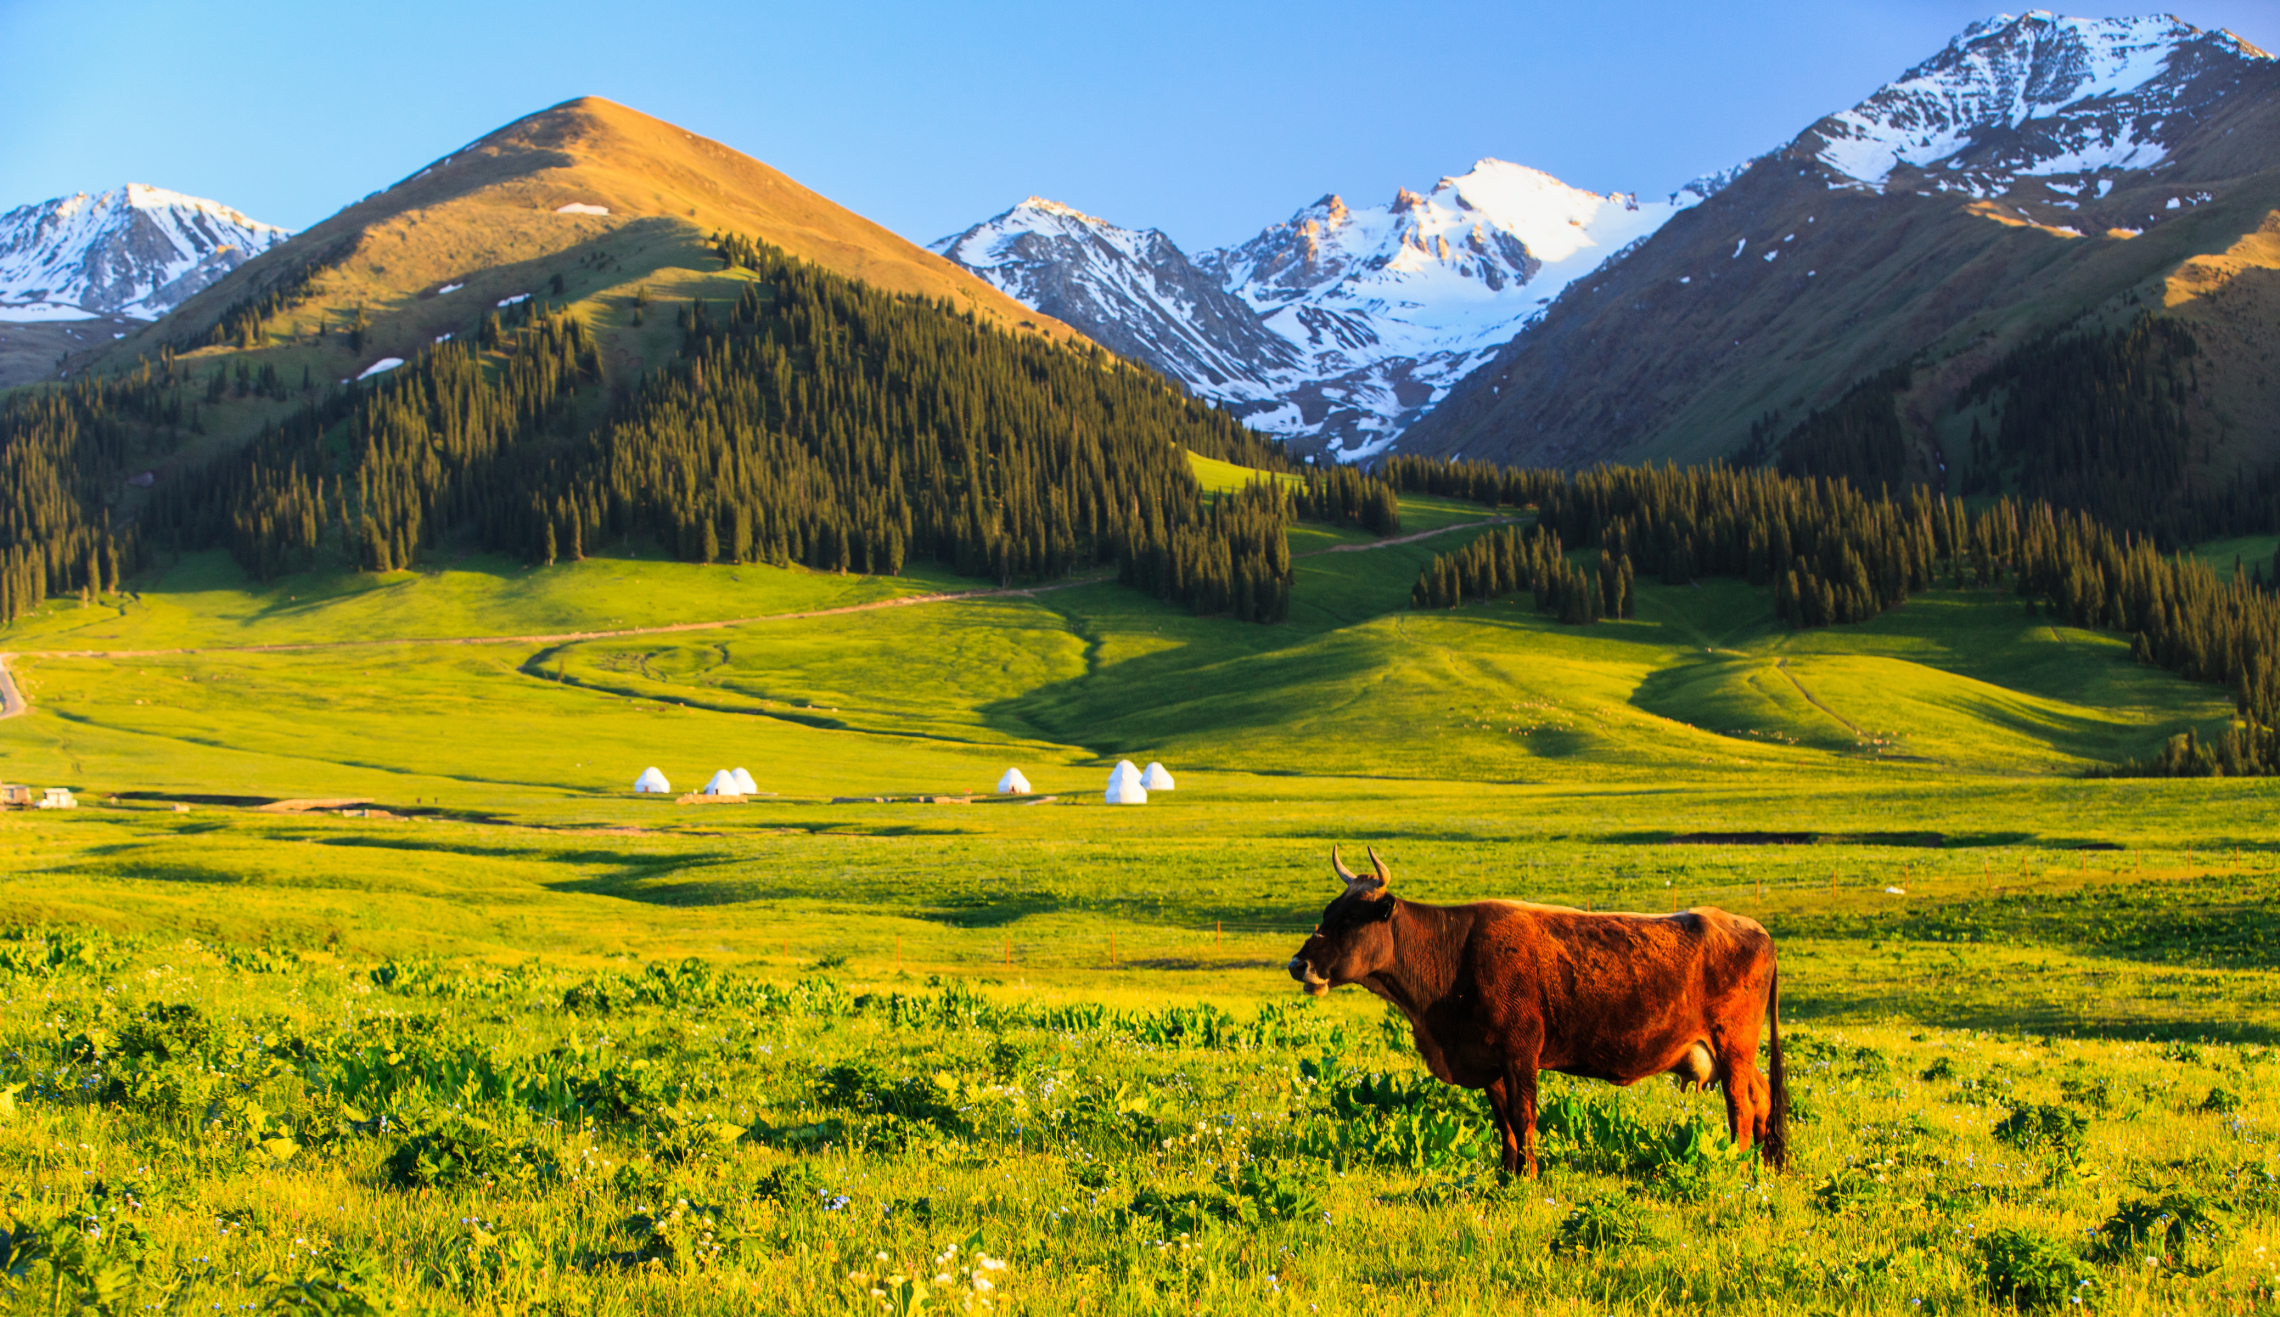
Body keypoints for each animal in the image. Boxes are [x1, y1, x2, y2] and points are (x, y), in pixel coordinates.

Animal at [1285, 847, 1778, 1175]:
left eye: (1352, 918)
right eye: (1327, 912)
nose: (1297, 964)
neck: (1455, 952)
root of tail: (1753, 927)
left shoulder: (1521, 1053)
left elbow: (1524, 1117)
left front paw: (1530, 1176)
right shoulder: (1488, 1061)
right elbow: (1503, 1120)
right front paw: (1508, 1173)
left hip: (1733, 1045)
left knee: (1740, 1105)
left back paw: (1737, 1165)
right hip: (1733, 1053)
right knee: (1763, 1096)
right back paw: (1767, 1165)